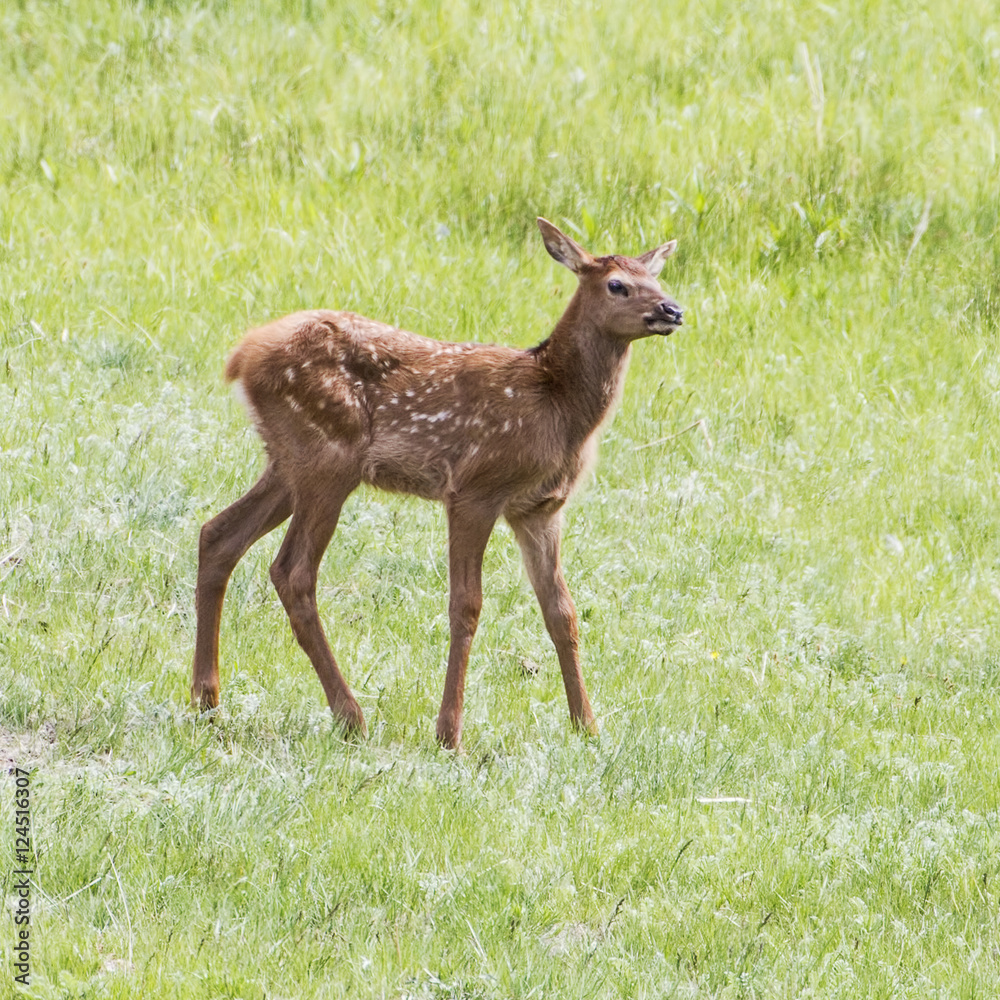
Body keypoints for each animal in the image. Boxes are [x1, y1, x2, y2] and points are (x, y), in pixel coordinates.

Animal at [191, 218, 684, 750]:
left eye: (657, 278)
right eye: (617, 285)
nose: (673, 310)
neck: (555, 405)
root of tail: (241, 356)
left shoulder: (540, 509)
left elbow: (562, 613)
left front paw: (587, 726)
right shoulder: (475, 490)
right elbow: (466, 605)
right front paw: (450, 734)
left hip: (289, 463)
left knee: (218, 534)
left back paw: (206, 700)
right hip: (328, 459)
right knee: (292, 572)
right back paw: (350, 716)